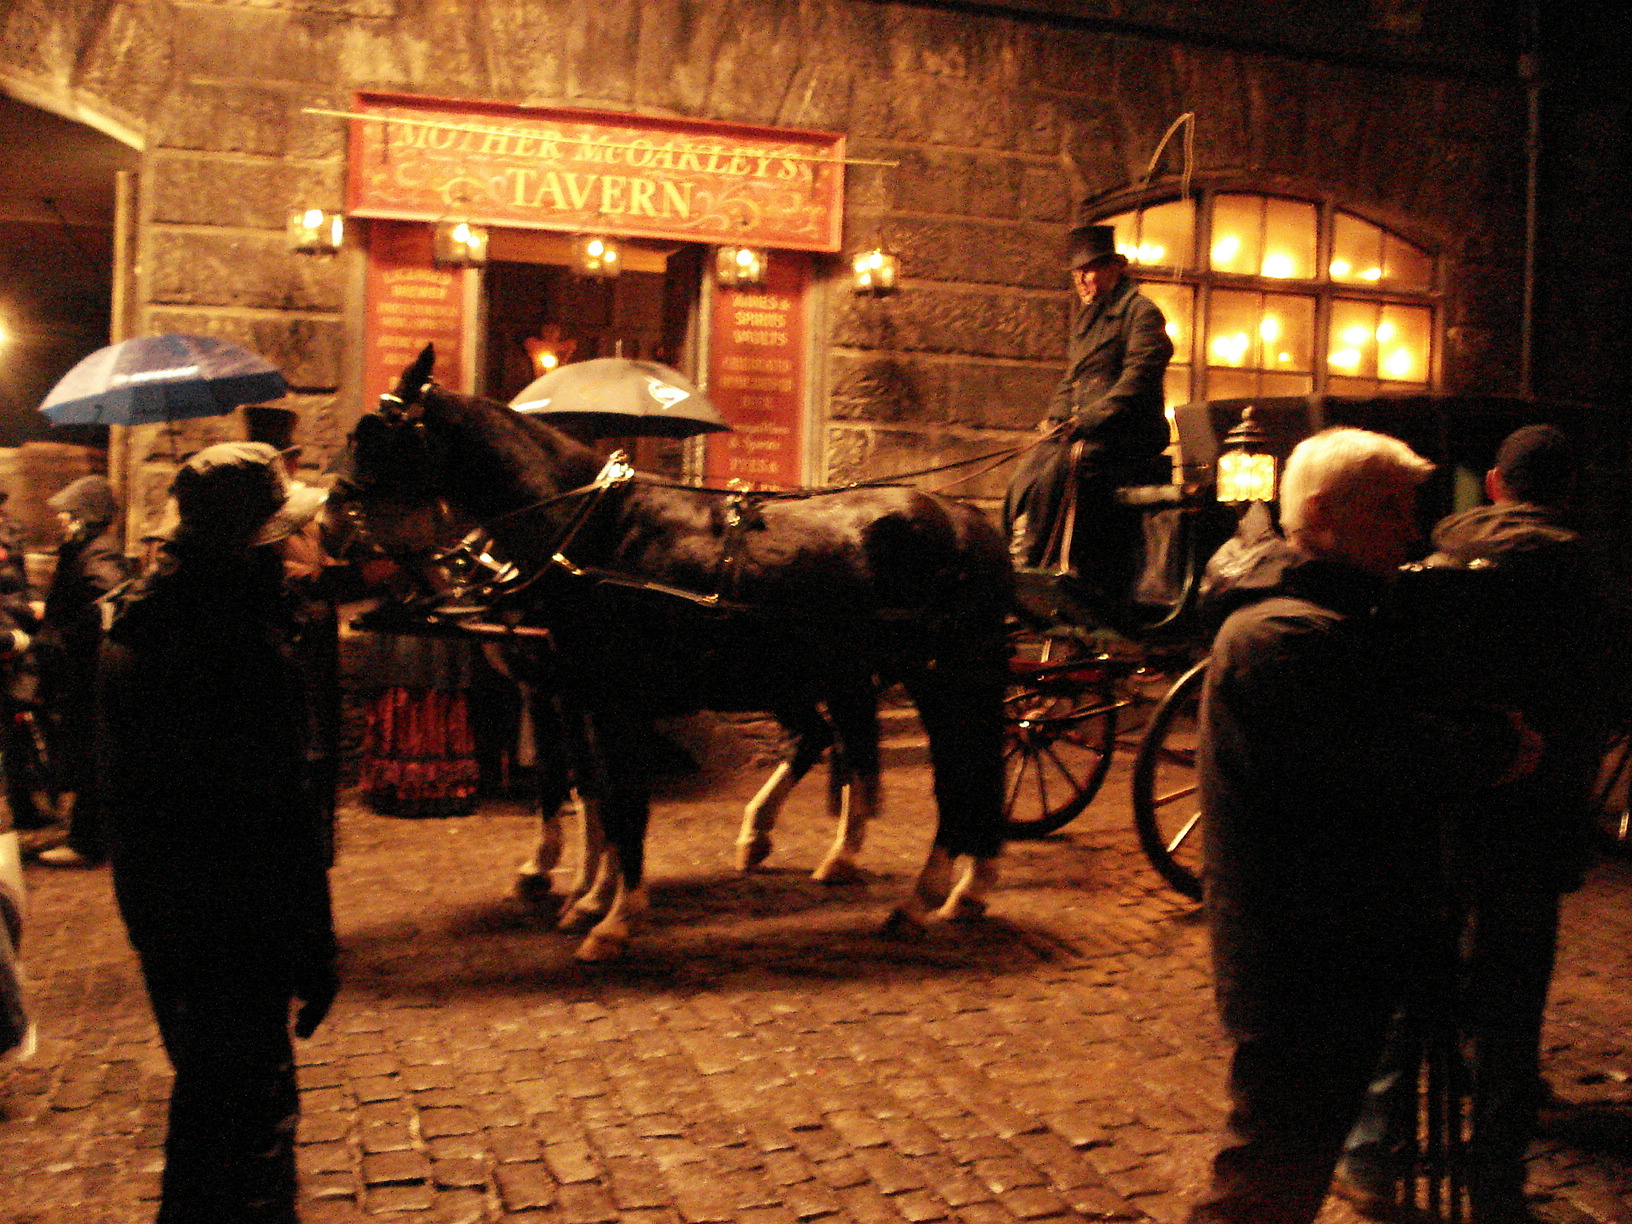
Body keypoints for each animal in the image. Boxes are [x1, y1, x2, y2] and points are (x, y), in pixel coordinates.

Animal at [333, 346, 1013, 960]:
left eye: (375, 433)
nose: (329, 524)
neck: (592, 534)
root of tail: (970, 521)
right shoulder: (574, 695)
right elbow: (595, 794)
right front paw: (588, 898)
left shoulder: (608, 700)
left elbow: (620, 802)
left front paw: (612, 918)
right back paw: (954, 887)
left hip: (945, 679)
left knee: (960, 776)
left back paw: (922, 898)